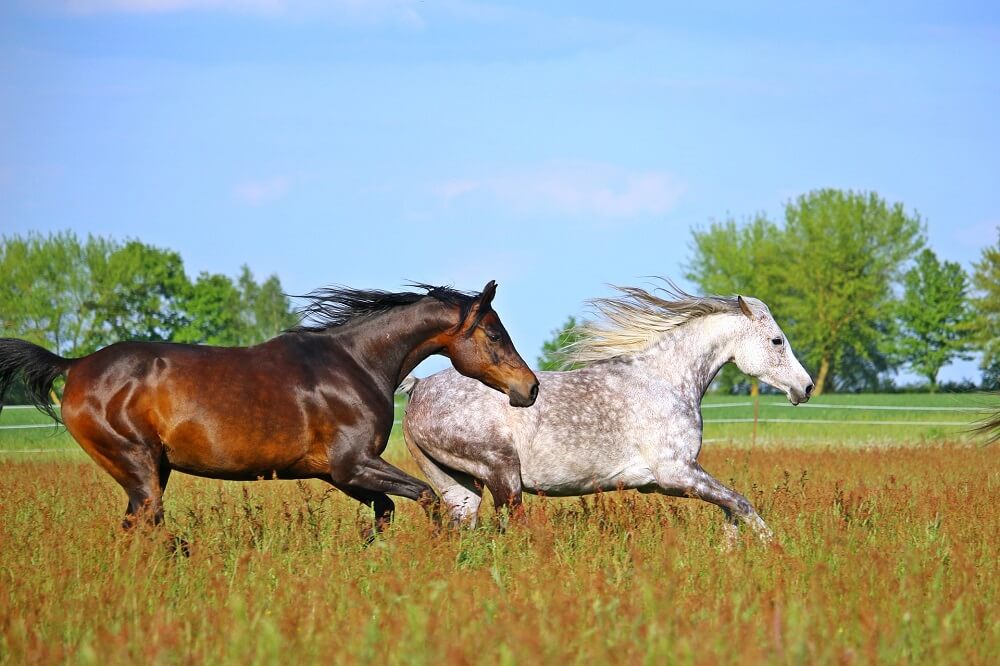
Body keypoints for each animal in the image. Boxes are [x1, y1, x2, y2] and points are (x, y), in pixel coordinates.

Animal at [0, 278, 540, 540]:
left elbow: (385, 511)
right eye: (495, 333)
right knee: (145, 526)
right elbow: (426, 497)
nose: (530, 388)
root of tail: (75, 365)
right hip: (137, 466)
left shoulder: (336, 473)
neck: (356, 363)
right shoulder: (353, 464)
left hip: (153, 470)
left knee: (138, 527)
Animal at [398, 282, 812, 536]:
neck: (664, 379)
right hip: (503, 475)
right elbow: (741, 504)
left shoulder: (664, 482)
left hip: (460, 487)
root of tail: (417, 388)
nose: (805, 387)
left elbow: (731, 508)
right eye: (777, 341)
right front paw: (772, 551)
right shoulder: (676, 472)